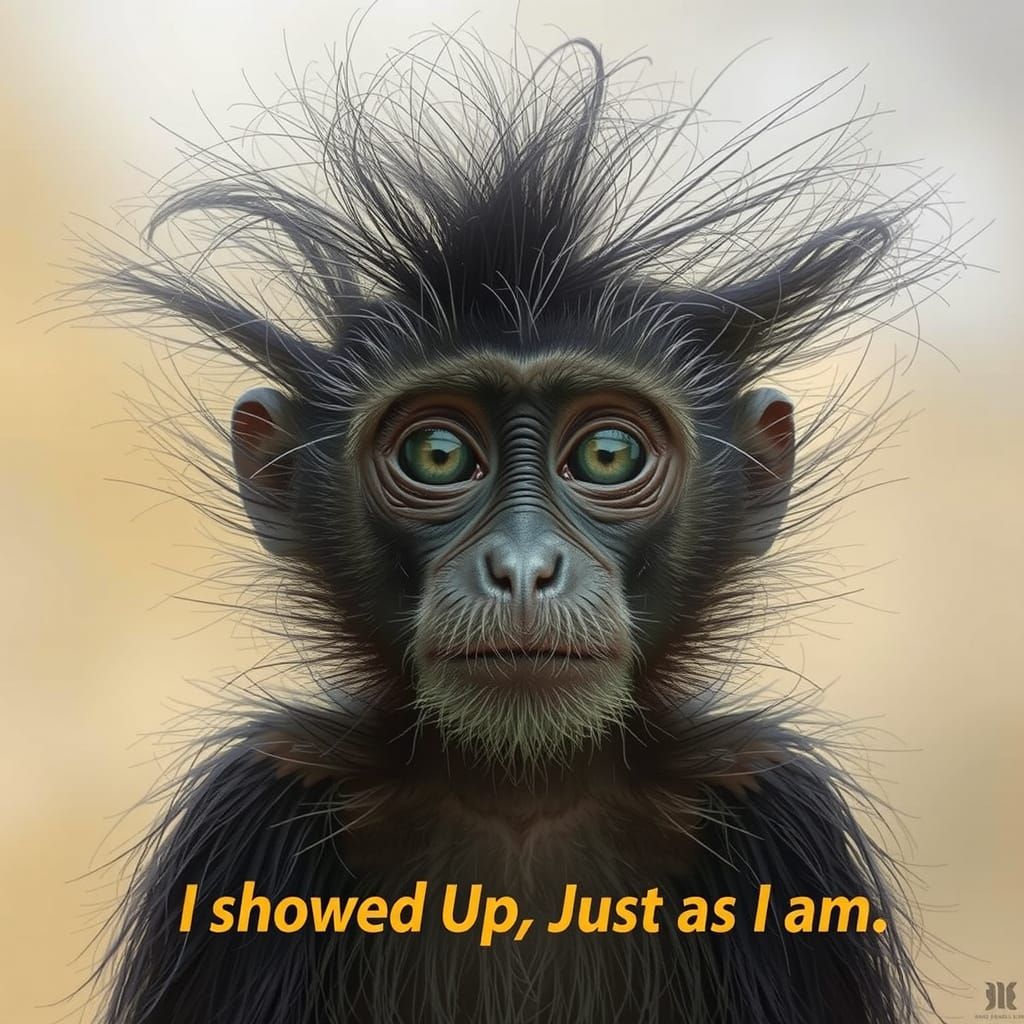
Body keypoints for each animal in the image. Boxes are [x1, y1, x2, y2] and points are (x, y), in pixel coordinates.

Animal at [81, 32, 956, 1024]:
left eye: (609, 454)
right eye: (437, 454)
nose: (527, 566)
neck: (521, 792)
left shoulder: (784, 817)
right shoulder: (250, 805)